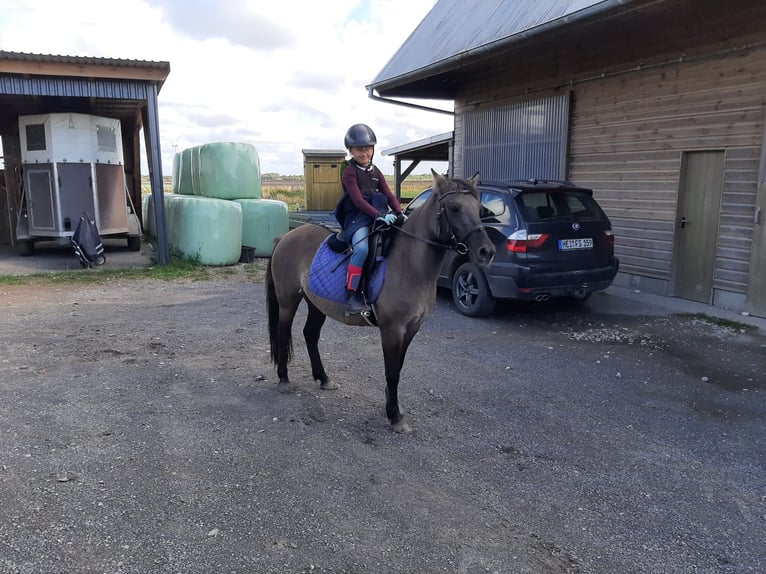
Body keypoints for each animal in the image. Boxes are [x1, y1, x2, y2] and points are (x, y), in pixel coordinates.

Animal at [266, 170, 498, 432]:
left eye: (478, 208)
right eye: (455, 207)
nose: (486, 252)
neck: (409, 263)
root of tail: (285, 237)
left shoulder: (412, 328)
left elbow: (398, 366)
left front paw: (393, 406)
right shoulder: (392, 329)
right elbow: (391, 372)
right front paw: (394, 416)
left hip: (316, 303)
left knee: (310, 334)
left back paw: (323, 378)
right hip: (288, 301)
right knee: (283, 333)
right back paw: (284, 379)